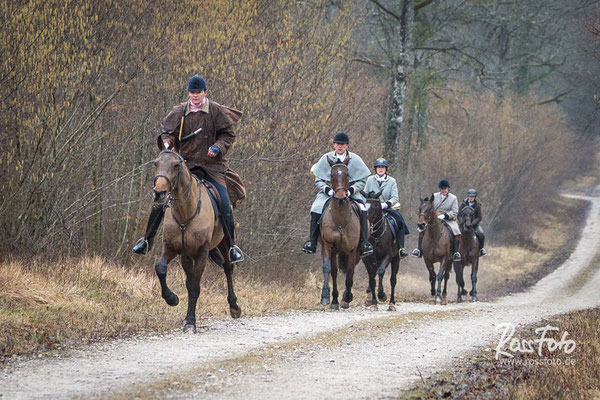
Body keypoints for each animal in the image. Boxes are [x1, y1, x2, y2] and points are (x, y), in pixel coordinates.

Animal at [152, 149, 241, 332]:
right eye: (156, 163)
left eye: (176, 165)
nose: (159, 193)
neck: (185, 213)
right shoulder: (175, 249)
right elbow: (161, 268)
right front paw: (172, 299)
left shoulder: (202, 252)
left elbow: (195, 287)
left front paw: (191, 322)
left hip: (224, 243)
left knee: (228, 268)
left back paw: (234, 306)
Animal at [318, 156, 360, 310]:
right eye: (331, 175)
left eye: (347, 174)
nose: (341, 196)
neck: (341, 219)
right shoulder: (328, 245)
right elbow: (328, 268)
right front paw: (326, 296)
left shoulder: (352, 250)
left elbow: (349, 273)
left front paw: (346, 298)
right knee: (335, 272)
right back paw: (335, 299)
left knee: (350, 271)